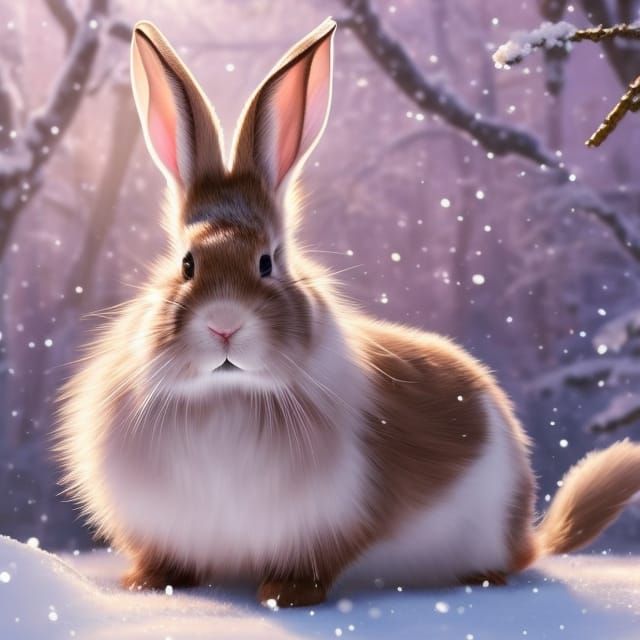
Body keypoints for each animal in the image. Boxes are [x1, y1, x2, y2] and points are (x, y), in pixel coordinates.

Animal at [55, 18, 640, 607]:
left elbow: (318, 560)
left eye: (268, 262)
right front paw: (147, 583)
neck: (229, 394)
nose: (224, 324)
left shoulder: (339, 518)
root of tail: (525, 536)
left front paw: (285, 594)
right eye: (187, 263)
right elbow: (167, 557)